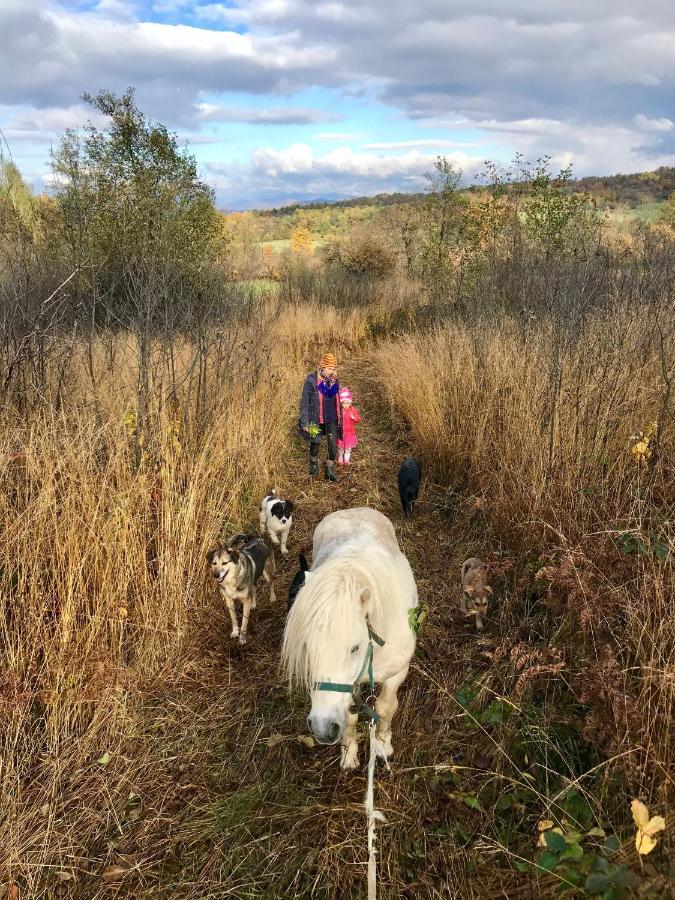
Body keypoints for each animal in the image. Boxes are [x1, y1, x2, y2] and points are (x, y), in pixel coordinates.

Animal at [280, 510, 418, 768]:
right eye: (307, 646)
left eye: (354, 647)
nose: (322, 729)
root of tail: (353, 510)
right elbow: (350, 717)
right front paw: (349, 754)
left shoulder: (397, 673)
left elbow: (385, 708)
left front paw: (382, 746)